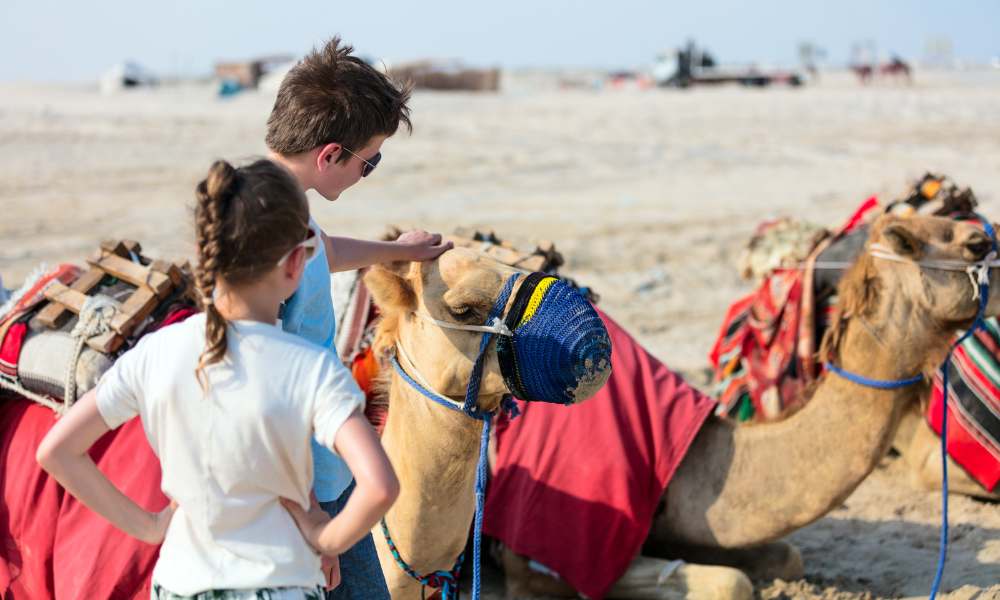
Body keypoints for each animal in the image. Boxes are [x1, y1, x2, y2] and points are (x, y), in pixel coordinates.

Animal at [364, 213, 996, 596]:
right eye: (965, 243)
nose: (983, 237)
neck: (684, 455)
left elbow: (785, 558)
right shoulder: (549, 560)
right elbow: (731, 583)